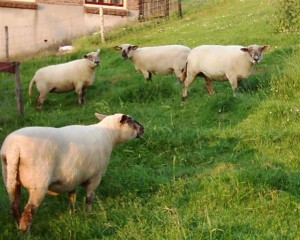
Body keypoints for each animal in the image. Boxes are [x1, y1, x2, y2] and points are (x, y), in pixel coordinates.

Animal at [0, 112, 144, 232]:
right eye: (130, 120)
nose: (142, 128)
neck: (108, 135)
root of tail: (14, 148)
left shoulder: (73, 177)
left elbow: (72, 197)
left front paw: (71, 214)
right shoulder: (95, 177)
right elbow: (89, 198)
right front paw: (88, 214)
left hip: (10, 178)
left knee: (15, 206)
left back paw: (18, 226)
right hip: (38, 184)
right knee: (28, 213)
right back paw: (26, 233)